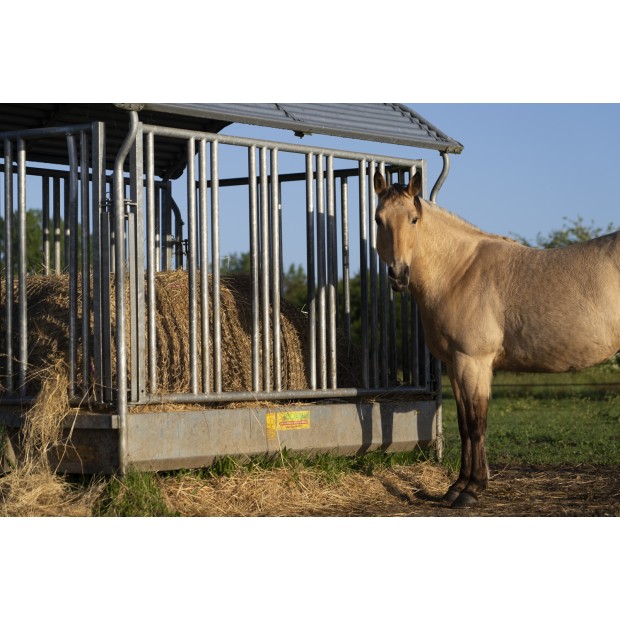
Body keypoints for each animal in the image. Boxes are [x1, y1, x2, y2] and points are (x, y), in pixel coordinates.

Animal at [372, 171, 620, 508]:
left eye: (413, 219)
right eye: (378, 219)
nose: (399, 275)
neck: (459, 272)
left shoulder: (473, 363)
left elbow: (477, 424)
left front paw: (471, 490)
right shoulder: (455, 365)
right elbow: (464, 425)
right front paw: (456, 487)